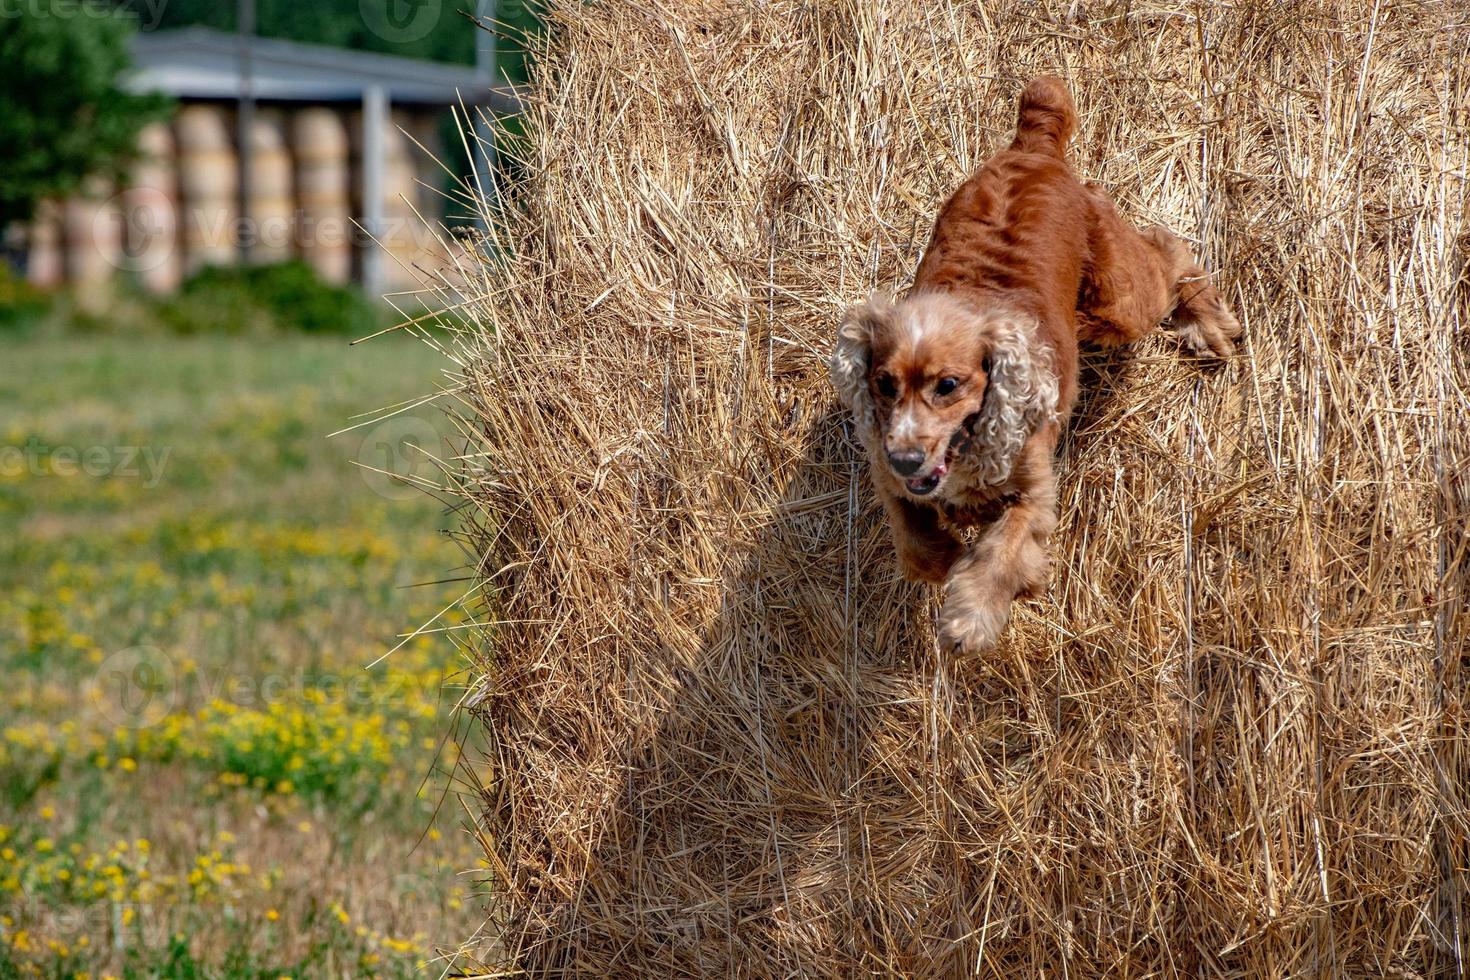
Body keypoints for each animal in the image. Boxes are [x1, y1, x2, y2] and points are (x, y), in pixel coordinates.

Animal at [834, 72, 1234, 646]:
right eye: (884, 385)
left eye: (948, 385)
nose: (907, 458)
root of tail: (1034, 147)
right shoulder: (892, 480)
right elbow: (915, 545)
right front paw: (950, 558)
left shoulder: (1034, 491)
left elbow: (1004, 551)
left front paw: (972, 616)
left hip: (1122, 299)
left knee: (1167, 250)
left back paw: (1207, 325)